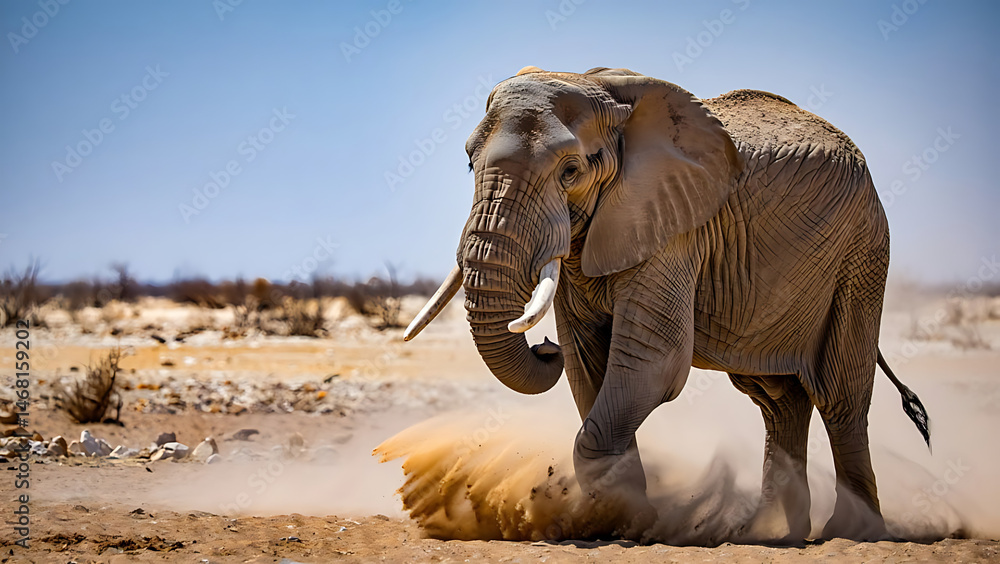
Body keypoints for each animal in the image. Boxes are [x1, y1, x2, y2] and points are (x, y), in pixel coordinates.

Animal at [404, 66, 930, 543]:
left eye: (570, 171)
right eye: (469, 165)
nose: (542, 347)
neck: (598, 88)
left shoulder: (675, 228)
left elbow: (652, 362)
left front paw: (622, 522)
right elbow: (587, 363)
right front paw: (621, 518)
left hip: (861, 252)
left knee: (841, 396)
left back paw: (852, 533)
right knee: (778, 399)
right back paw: (773, 534)